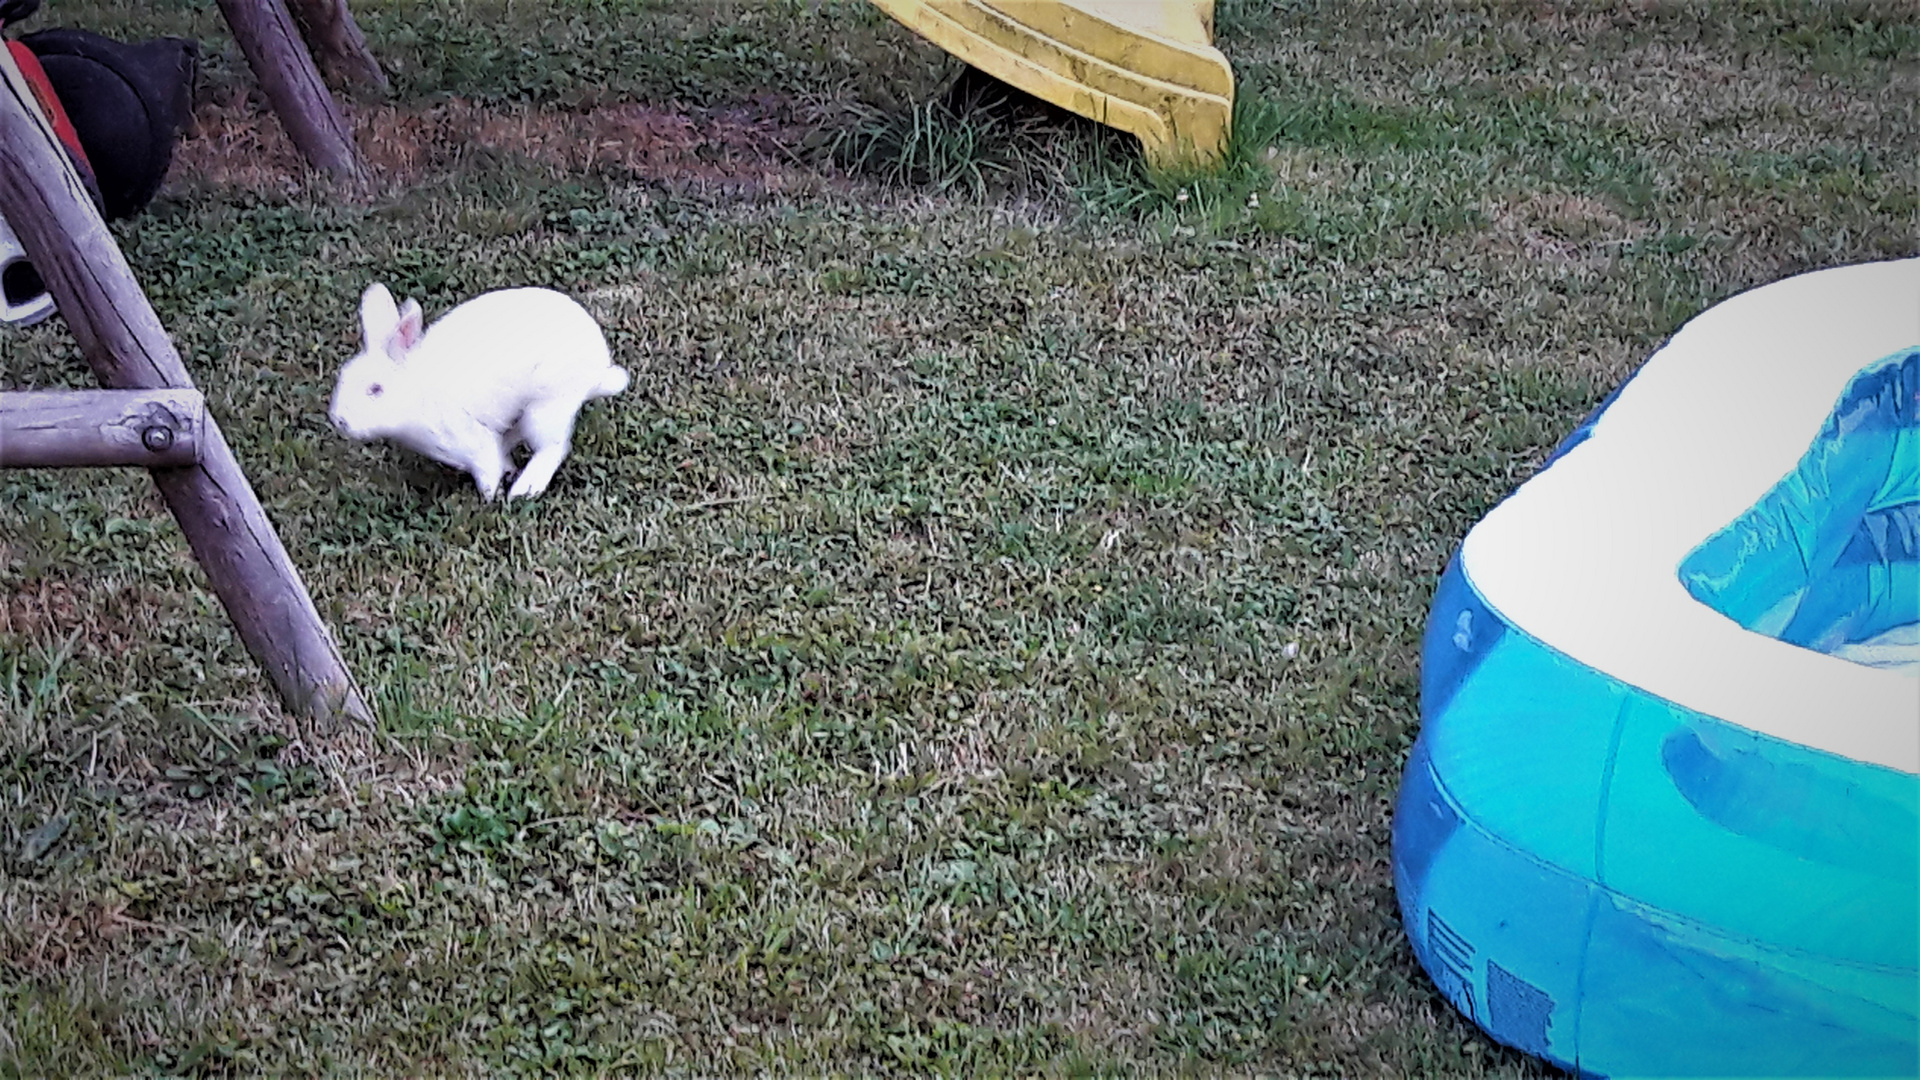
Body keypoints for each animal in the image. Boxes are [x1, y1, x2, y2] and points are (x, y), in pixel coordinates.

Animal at [330, 282, 629, 499]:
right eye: (343, 376)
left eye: (375, 389)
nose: (338, 420)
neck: (417, 393)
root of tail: (599, 370)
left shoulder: (471, 440)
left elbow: (487, 469)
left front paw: (489, 498)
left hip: (547, 406)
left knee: (553, 447)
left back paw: (524, 489)